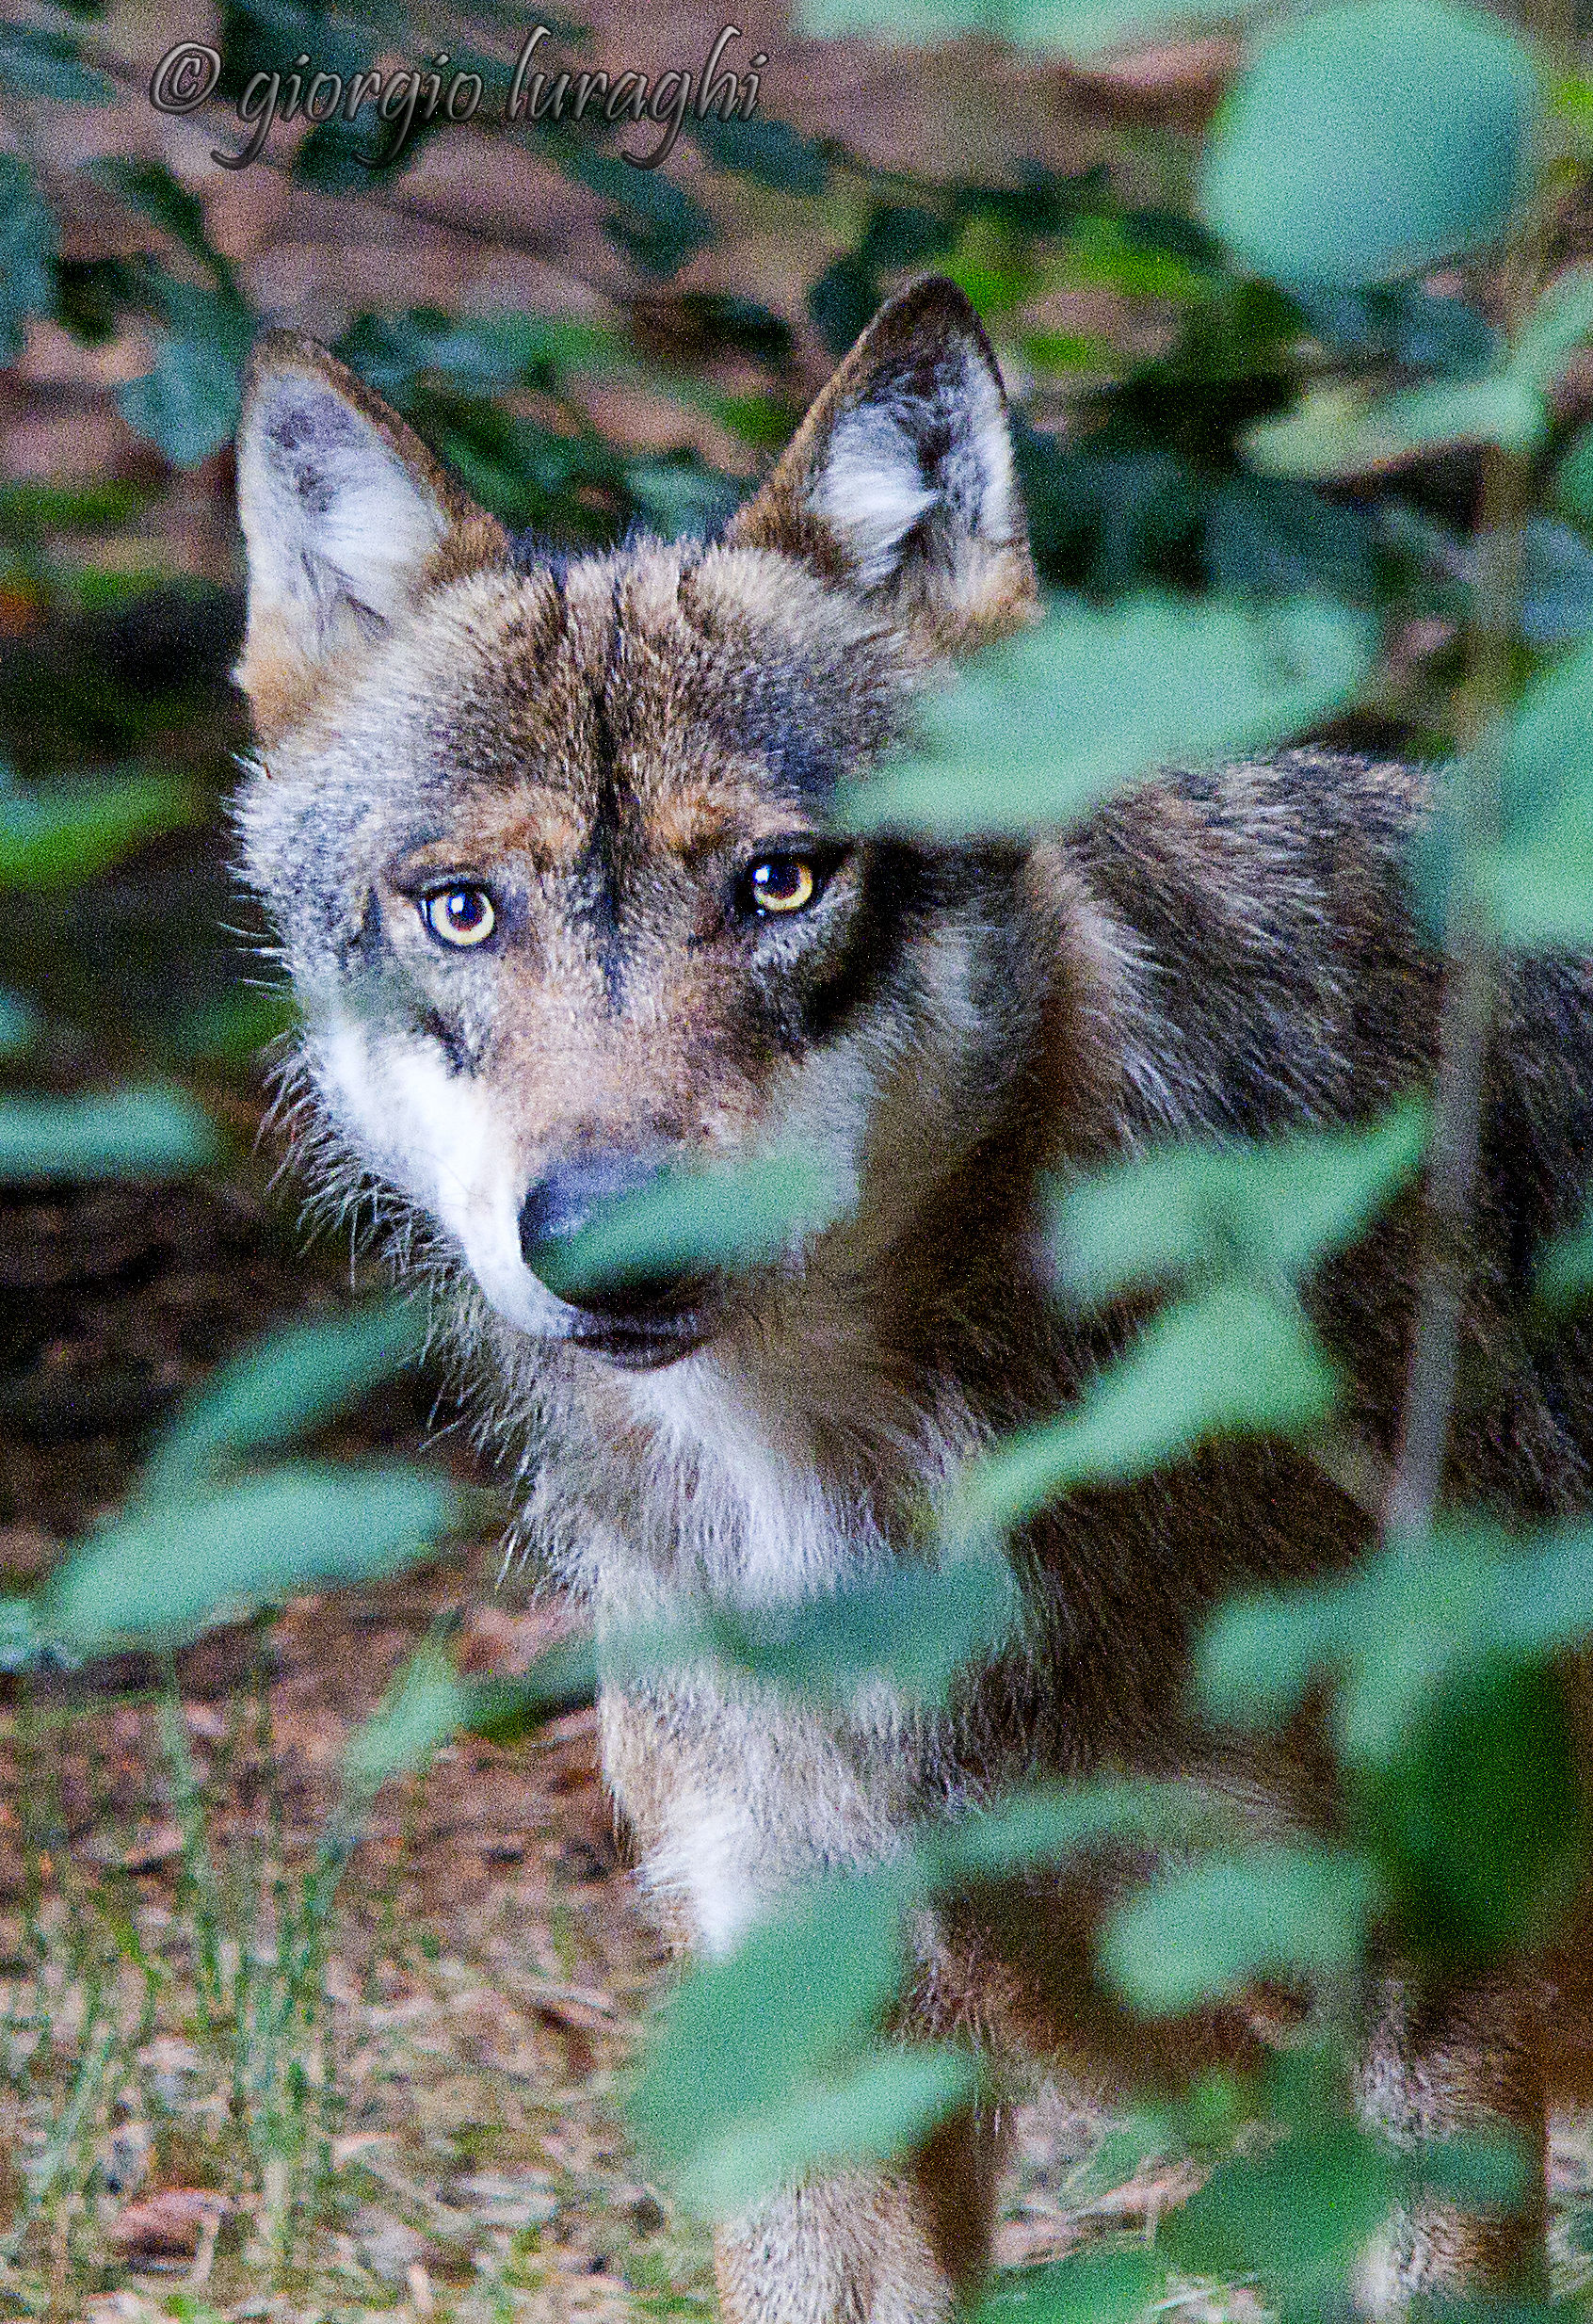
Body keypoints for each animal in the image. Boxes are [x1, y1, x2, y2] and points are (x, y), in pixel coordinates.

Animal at [232, 275, 1593, 2317]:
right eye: (461, 907)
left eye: (782, 884)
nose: (607, 1232)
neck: (864, 1492)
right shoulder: (809, 2025)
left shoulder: (1421, 2019)